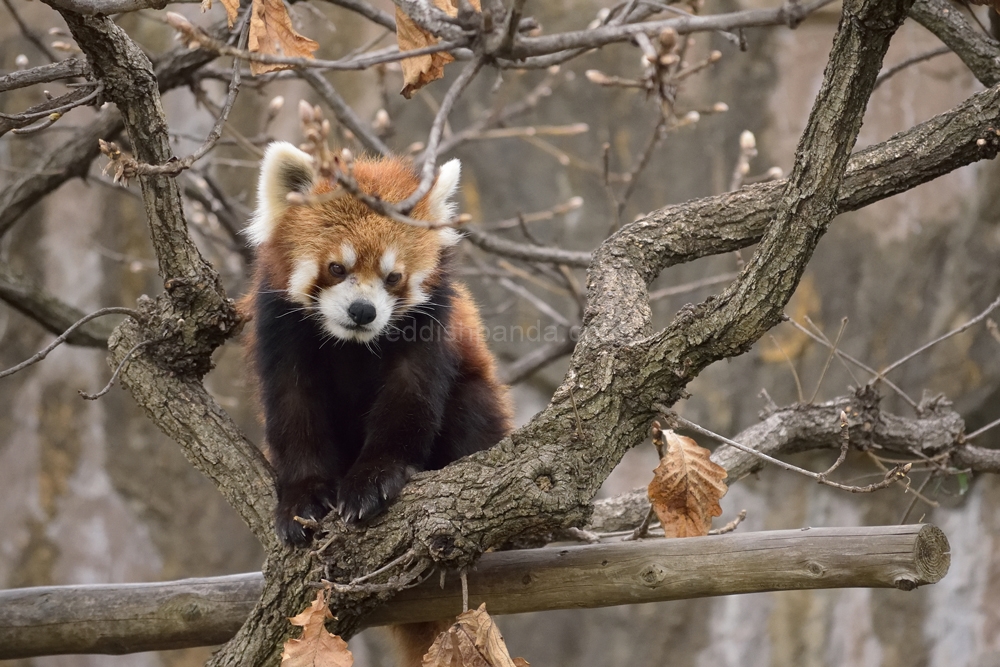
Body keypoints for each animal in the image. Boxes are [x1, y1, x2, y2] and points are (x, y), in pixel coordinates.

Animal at [239, 142, 512, 548]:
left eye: (393, 277)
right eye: (336, 268)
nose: (363, 311)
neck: (353, 344)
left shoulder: (431, 326)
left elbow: (409, 400)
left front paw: (373, 480)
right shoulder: (280, 328)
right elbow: (293, 405)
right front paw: (302, 497)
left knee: (472, 412)